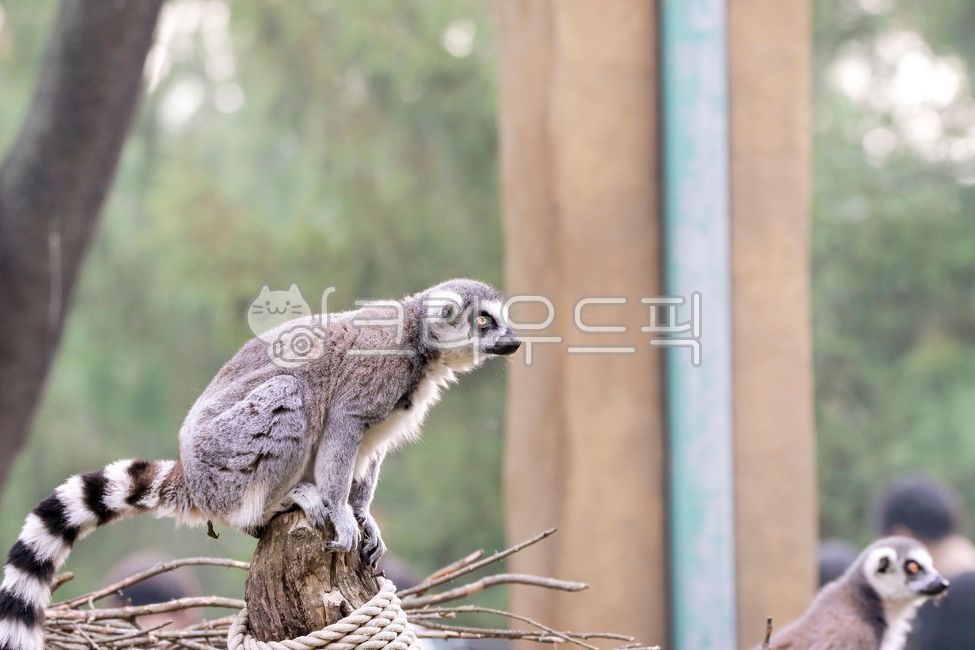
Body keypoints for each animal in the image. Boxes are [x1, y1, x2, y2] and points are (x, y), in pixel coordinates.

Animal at [0, 278, 521, 650]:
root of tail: (192, 475)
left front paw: (363, 516)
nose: (514, 342)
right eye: (484, 321)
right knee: (290, 395)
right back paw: (279, 503)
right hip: (225, 459)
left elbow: (368, 455)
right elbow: (341, 426)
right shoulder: (373, 373)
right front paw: (341, 514)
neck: (418, 343)